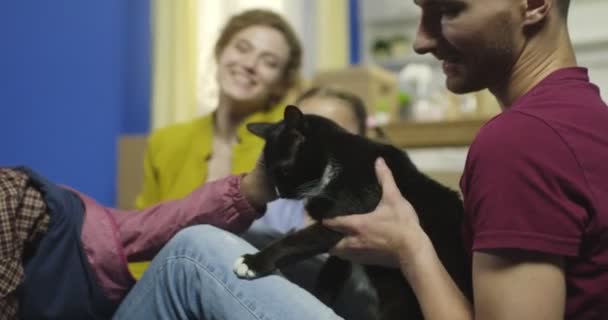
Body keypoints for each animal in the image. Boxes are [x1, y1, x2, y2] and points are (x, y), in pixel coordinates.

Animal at [233, 105, 470, 320]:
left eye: (283, 171)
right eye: (268, 175)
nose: (280, 193)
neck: (336, 159)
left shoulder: (346, 217)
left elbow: (294, 241)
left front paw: (253, 262)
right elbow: (331, 270)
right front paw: (321, 297)